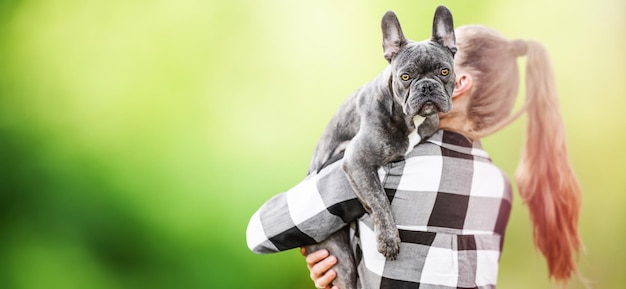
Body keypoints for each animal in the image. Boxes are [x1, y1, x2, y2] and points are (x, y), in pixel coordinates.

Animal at [302, 5, 454, 288]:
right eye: (405, 76)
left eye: (444, 72)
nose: (427, 86)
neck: (409, 119)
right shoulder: (357, 161)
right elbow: (378, 199)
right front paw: (389, 240)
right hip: (339, 260)